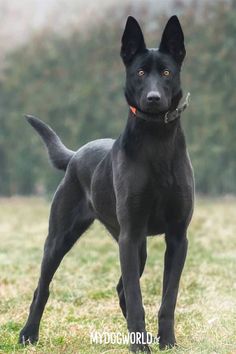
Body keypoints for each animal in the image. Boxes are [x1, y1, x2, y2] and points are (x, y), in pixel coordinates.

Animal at [19, 15, 194, 352]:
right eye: (140, 72)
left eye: (166, 72)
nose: (153, 99)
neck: (156, 140)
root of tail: (75, 155)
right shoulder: (130, 234)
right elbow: (138, 298)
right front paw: (139, 346)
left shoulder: (177, 237)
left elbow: (168, 298)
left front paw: (166, 342)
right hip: (61, 238)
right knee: (42, 288)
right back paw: (28, 334)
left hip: (136, 247)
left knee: (121, 289)